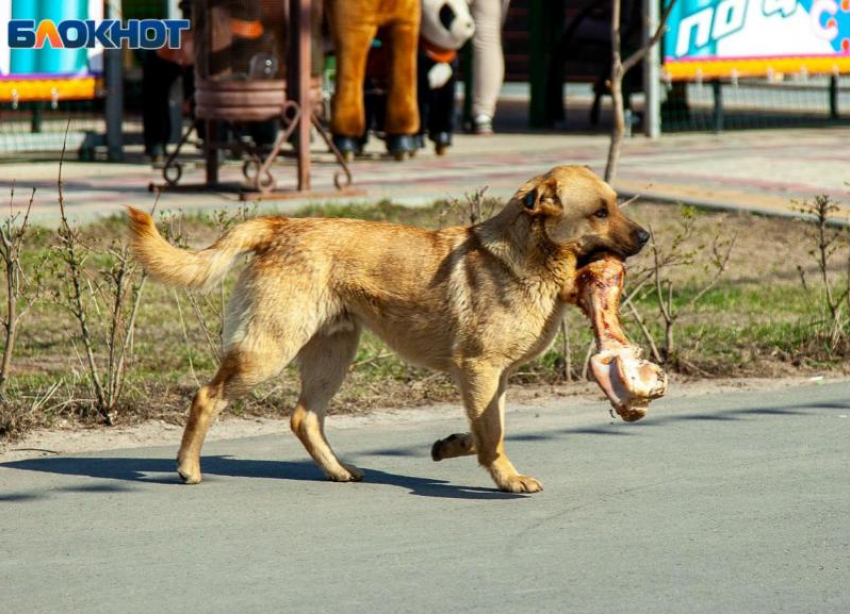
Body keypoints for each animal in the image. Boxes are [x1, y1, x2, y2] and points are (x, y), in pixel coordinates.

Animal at [126, 166, 644, 494]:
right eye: (600, 212)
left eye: (616, 204)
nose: (645, 237)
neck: (529, 255)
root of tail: (279, 226)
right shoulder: (478, 370)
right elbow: (493, 435)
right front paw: (506, 479)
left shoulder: (492, 379)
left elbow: (485, 431)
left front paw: (452, 447)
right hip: (267, 351)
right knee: (207, 396)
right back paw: (187, 468)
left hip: (332, 355)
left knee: (304, 418)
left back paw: (337, 471)